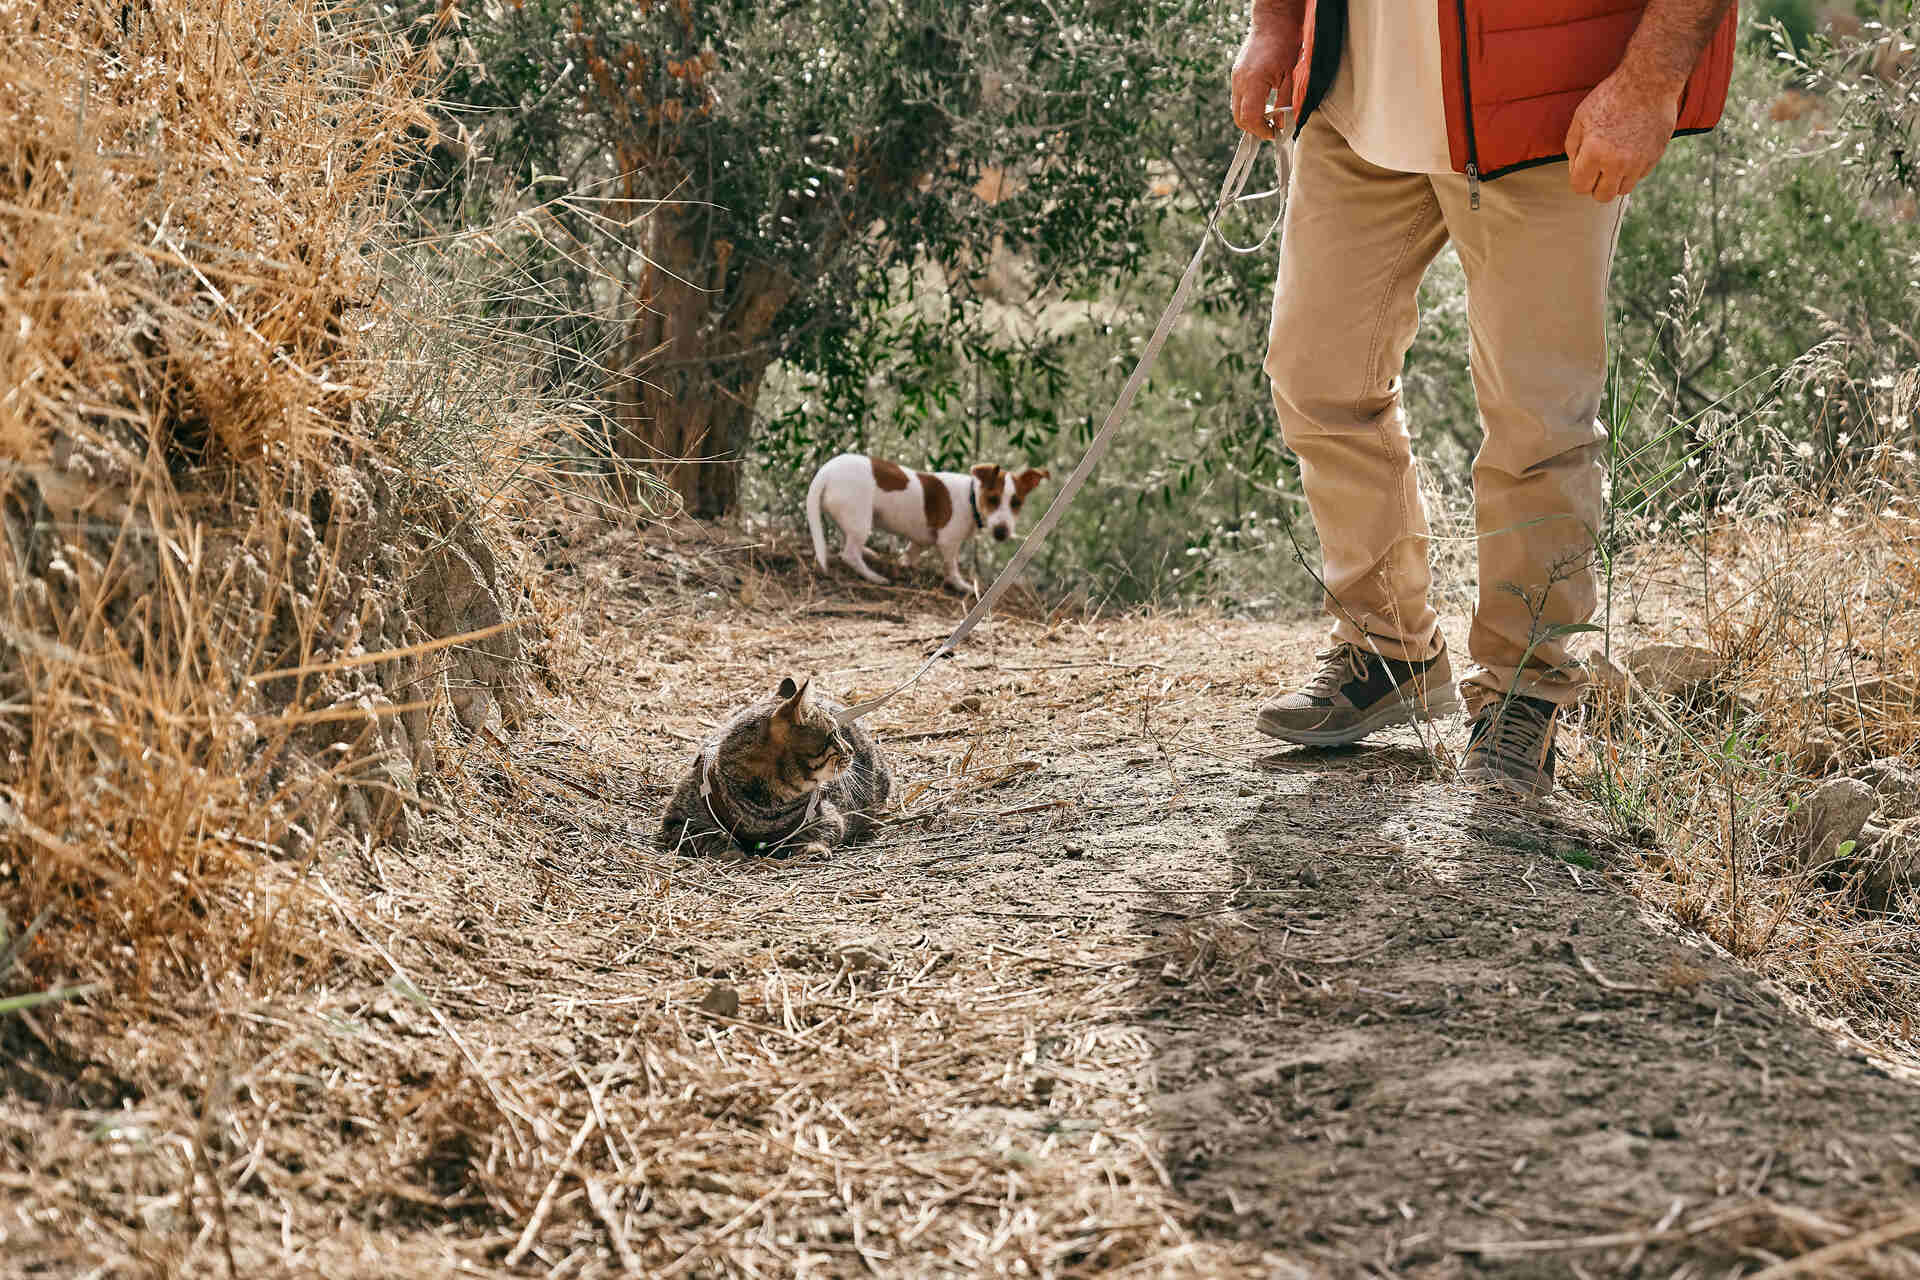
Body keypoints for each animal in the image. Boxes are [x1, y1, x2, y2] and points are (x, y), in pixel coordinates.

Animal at [660, 675, 890, 855]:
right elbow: (704, 837)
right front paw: (729, 851)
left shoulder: (829, 815)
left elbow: (815, 831)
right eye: (834, 735)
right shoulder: (676, 821)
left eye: (839, 732)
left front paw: (811, 848)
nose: (850, 750)